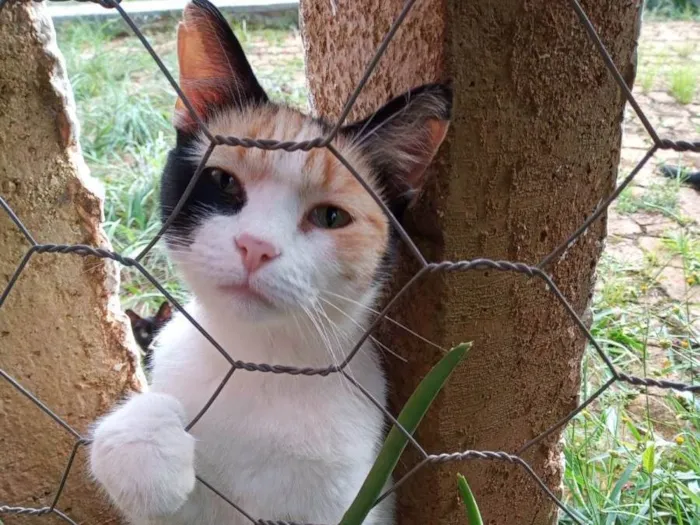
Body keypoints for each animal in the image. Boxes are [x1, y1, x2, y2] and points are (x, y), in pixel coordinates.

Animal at [87, 1, 452, 524]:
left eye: (330, 216)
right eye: (223, 182)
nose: (255, 246)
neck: (262, 359)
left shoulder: (354, 495)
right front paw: (144, 448)